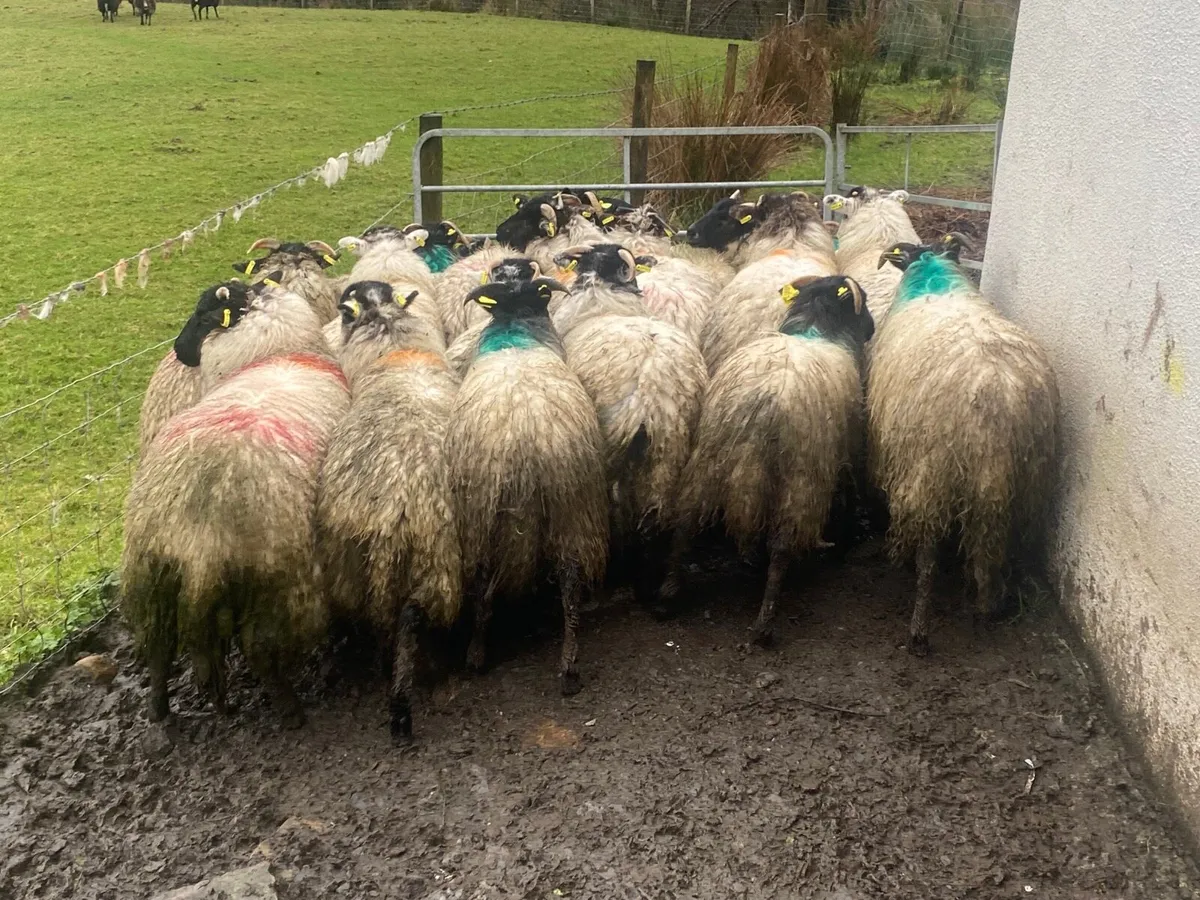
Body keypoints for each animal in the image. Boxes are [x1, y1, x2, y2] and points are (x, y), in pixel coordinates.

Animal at [123, 279, 350, 725]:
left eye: (200, 315)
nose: (179, 350)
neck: (277, 353)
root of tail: (198, 538)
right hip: (279, 581)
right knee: (259, 651)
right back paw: (291, 710)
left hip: (151, 575)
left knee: (158, 651)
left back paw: (159, 711)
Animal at [446, 277, 608, 695]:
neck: (516, 328)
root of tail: (527, 443)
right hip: (569, 504)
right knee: (567, 579)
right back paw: (566, 662)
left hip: (490, 513)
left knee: (488, 585)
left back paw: (479, 653)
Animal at [551, 244, 707, 602]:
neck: (602, 297)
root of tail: (653, 389)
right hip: (673, 444)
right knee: (667, 514)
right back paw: (664, 587)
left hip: (614, 445)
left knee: (621, 506)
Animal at [662, 276, 874, 643]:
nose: (873, 328)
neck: (816, 327)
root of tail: (761, 401)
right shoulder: (844, 449)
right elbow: (848, 494)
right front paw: (843, 544)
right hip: (799, 478)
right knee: (782, 546)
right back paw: (764, 623)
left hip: (707, 459)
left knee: (685, 524)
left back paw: (669, 593)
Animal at [869, 240, 1059, 655]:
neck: (932, 275)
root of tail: (996, 404)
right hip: (1021, 484)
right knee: (997, 546)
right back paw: (990, 605)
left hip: (928, 472)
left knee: (928, 556)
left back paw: (918, 630)